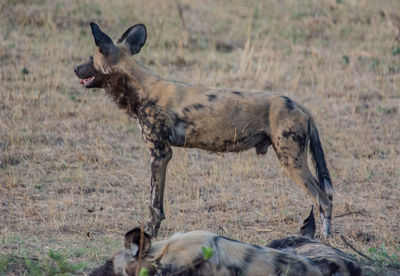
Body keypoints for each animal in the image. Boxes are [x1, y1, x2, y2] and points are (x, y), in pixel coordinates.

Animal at [74, 22, 334, 237]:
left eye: (90, 57)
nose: (75, 69)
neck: (141, 88)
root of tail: (300, 105)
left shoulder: (159, 154)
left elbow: (154, 203)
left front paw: (149, 232)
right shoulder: (162, 155)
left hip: (291, 162)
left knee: (323, 199)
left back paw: (325, 239)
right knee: (327, 195)